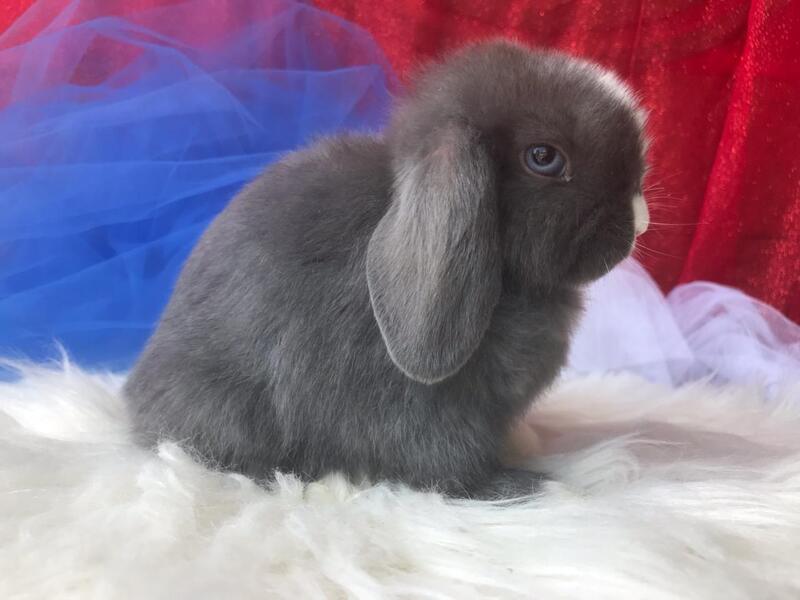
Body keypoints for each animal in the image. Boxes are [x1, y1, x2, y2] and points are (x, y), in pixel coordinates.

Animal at [124, 39, 650, 500]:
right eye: (544, 157)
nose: (639, 219)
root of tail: (137, 395)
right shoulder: (420, 411)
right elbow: (448, 467)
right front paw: (523, 485)